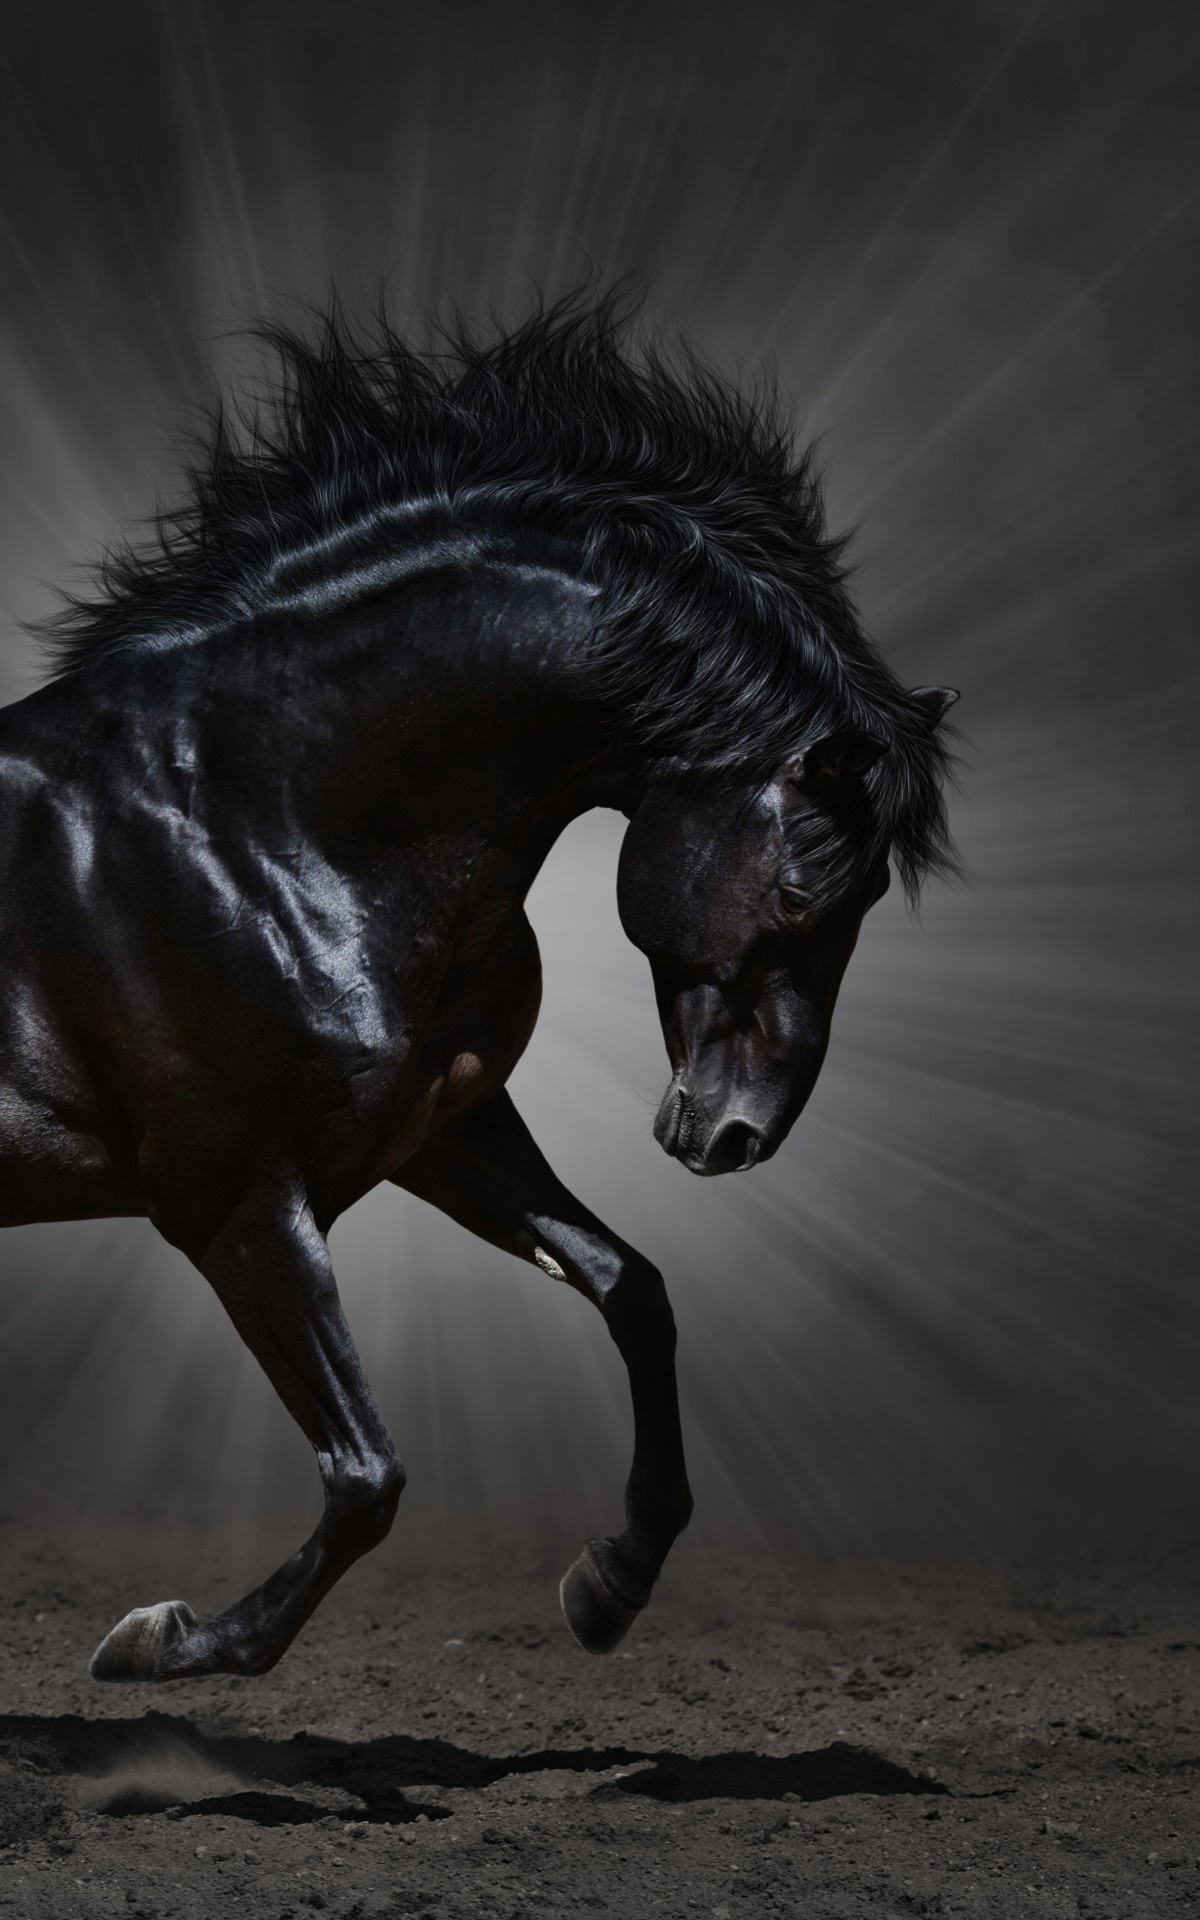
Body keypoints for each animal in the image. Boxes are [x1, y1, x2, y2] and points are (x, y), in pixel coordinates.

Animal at [0, 295, 957, 1684]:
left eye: (873, 899)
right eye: (800, 892)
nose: (737, 1134)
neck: (253, 816)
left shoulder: (443, 1132)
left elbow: (631, 1291)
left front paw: (610, 1583)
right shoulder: (240, 1205)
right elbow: (366, 1477)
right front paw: (164, 1642)